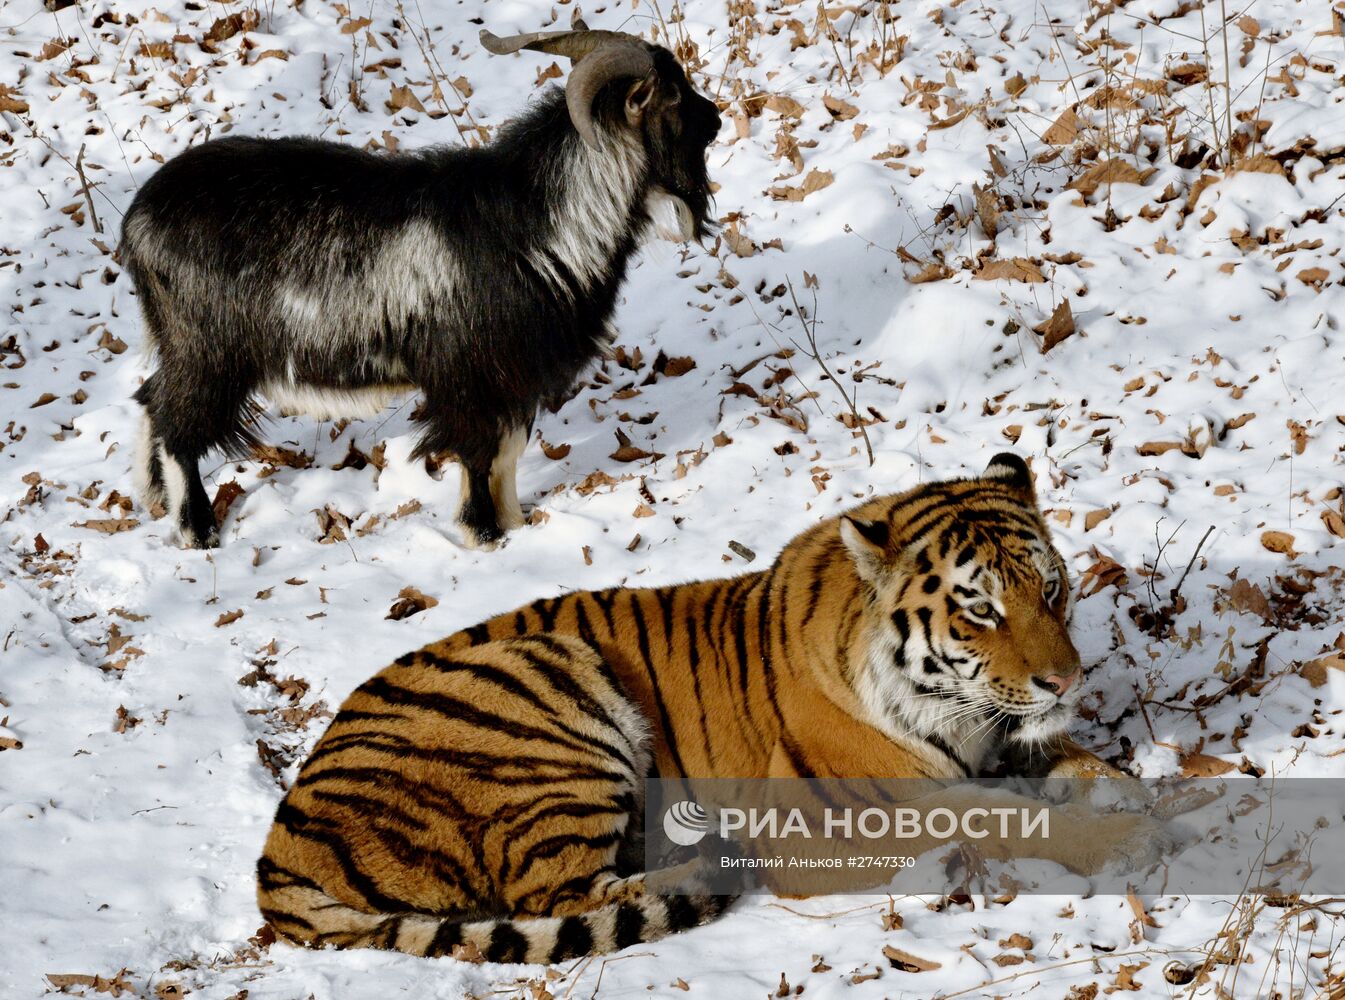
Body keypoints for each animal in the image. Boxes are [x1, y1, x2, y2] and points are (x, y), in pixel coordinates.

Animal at [257, 452, 1162, 964]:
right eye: (980, 610)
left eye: (1049, 588)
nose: (1064, 681)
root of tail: (278, 848)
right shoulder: (832, 811)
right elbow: (1006, 817)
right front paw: (1133, 839)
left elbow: (1076, 767)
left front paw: (1140, 795)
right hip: (548, 682)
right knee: (555, 895)